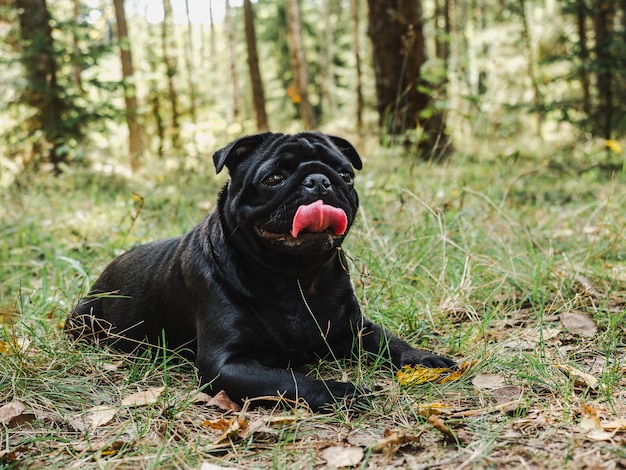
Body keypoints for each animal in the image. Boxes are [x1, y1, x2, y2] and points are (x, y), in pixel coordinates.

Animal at [66, 132, 450, 412]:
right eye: (274, 178)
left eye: (345, 175)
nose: (319, 180)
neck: (295, 278)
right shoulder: (227, 364)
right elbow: (290, 380)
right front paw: (341, 391)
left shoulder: (355, 329)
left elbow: (391, 342)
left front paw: (424, 358)